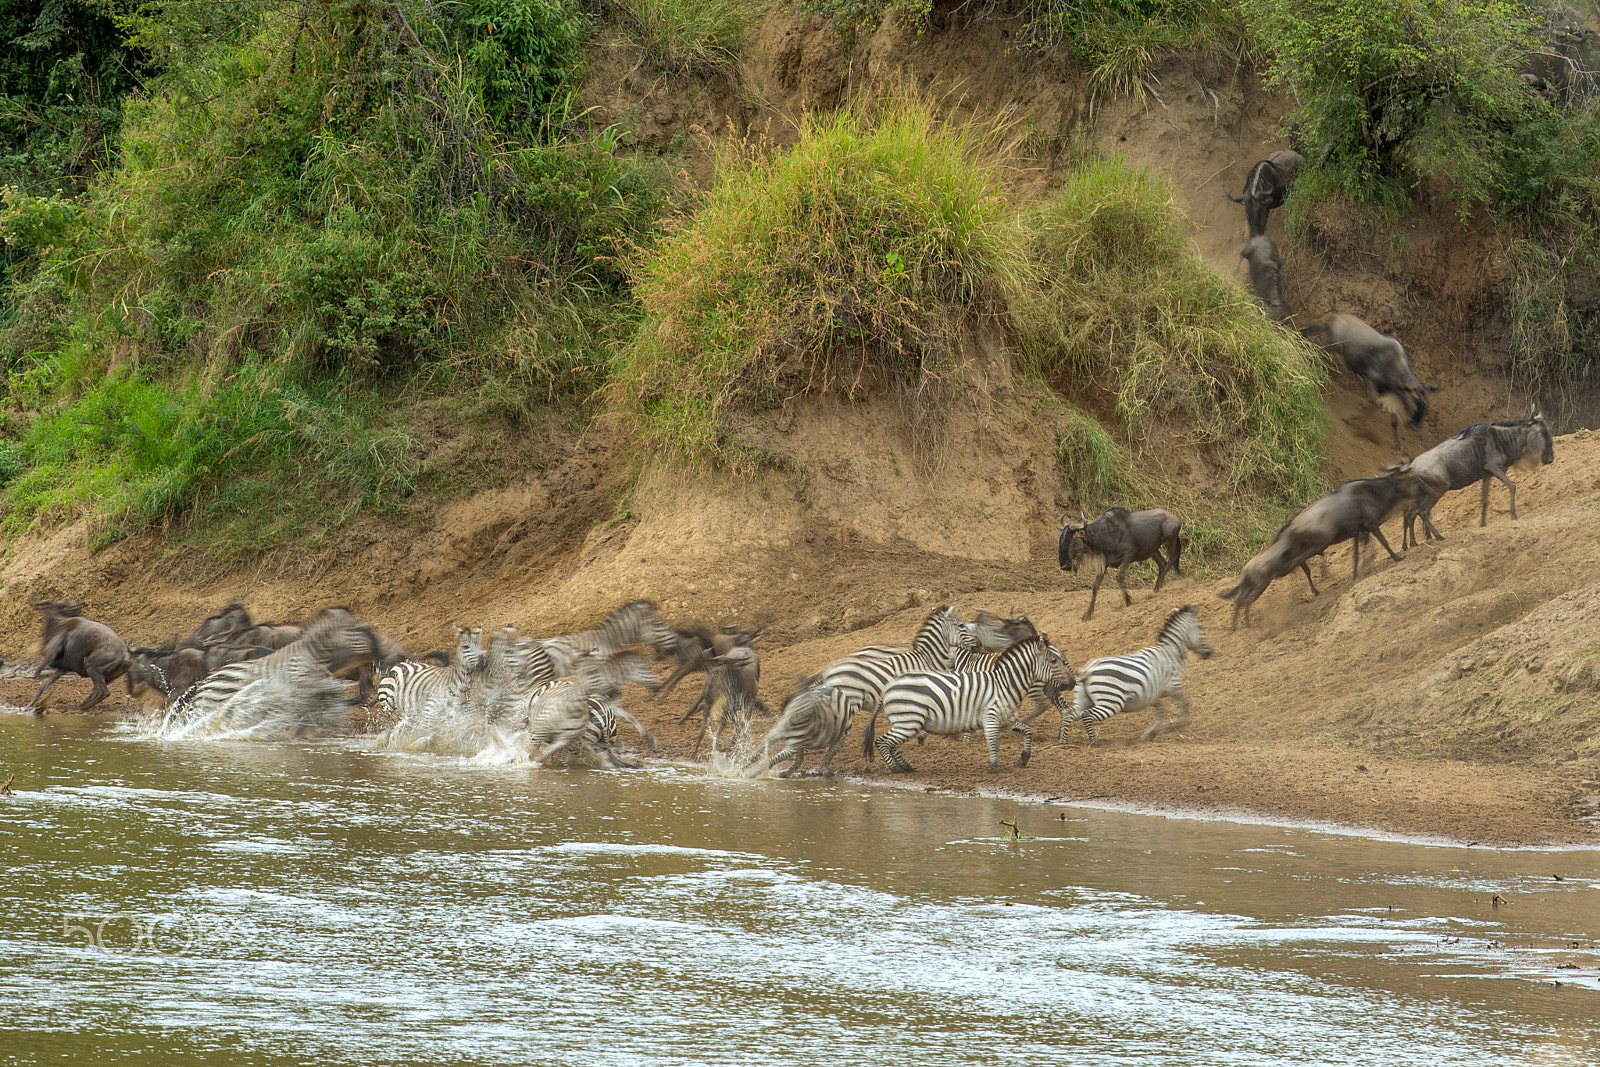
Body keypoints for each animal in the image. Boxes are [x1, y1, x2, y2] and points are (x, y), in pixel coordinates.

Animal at [864, 633, 1075, 777]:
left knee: (890, 744)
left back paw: (906, 766)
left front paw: (1024, 757)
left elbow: (1027, 730)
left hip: (905, 722)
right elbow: (993, 744)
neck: (1005, 683)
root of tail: (888, 686)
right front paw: (995, 767)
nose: (1072, 683)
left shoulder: (1005, 721)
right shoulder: (991, 719)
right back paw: (896, 769)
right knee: (882, 742)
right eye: (1053, 661)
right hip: (908, 721)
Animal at [1062, 604, 1209, 748]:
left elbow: (1161, 712)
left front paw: (1151, 733)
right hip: (1112, 702)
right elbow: (1185, 702)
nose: (1209, 653)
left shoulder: (1152, 694)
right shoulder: (1171, 687)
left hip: (1084, 699)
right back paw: (1095, 740)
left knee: (1068, 714)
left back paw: (1063, 742)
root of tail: (1088, 669)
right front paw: (1177, 725)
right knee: (1086, 715)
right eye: (1200, 627)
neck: (1170, 652)